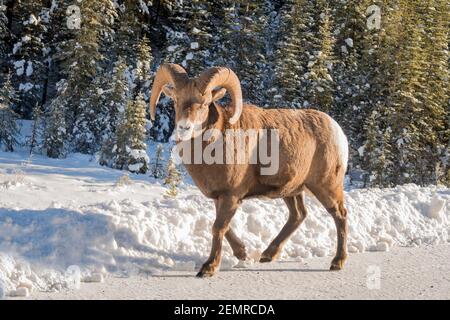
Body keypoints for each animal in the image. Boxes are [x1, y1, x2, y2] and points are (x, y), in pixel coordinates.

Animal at [149, 63, 350, 278]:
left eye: (204, 103)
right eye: (176, 100)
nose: (184, 127)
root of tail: (338, 131)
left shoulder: (231, 195)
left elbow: (218, 227)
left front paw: (209, 267)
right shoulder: (220, 197)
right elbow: (223, 226)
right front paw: (242, 253)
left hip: (326, 187)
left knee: (340, 215)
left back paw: (337, 262)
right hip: (292, 191)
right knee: (298, 215)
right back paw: (267, 255)